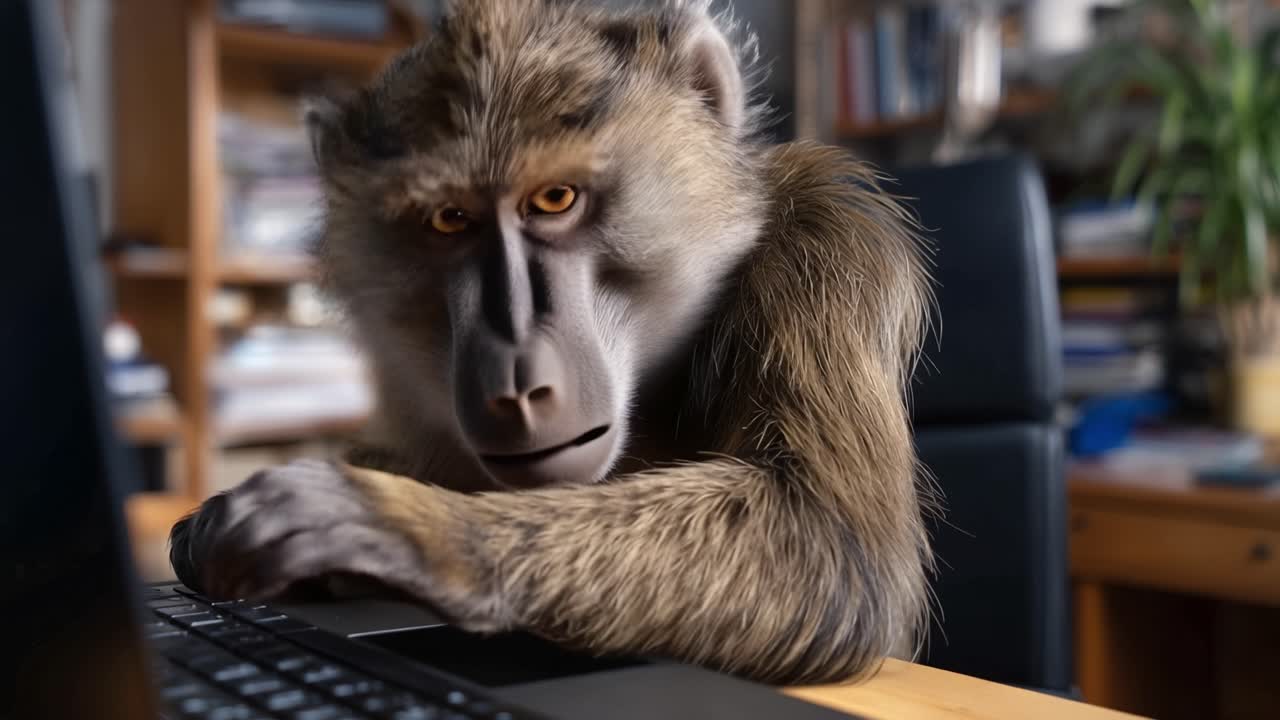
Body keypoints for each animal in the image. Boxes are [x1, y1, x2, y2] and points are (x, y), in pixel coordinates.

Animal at [169, 0, 935, 686]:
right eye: (450, 220)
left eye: (555, 200)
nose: (514, 379)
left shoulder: (825, 245)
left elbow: (828, 545)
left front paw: (406, 525)